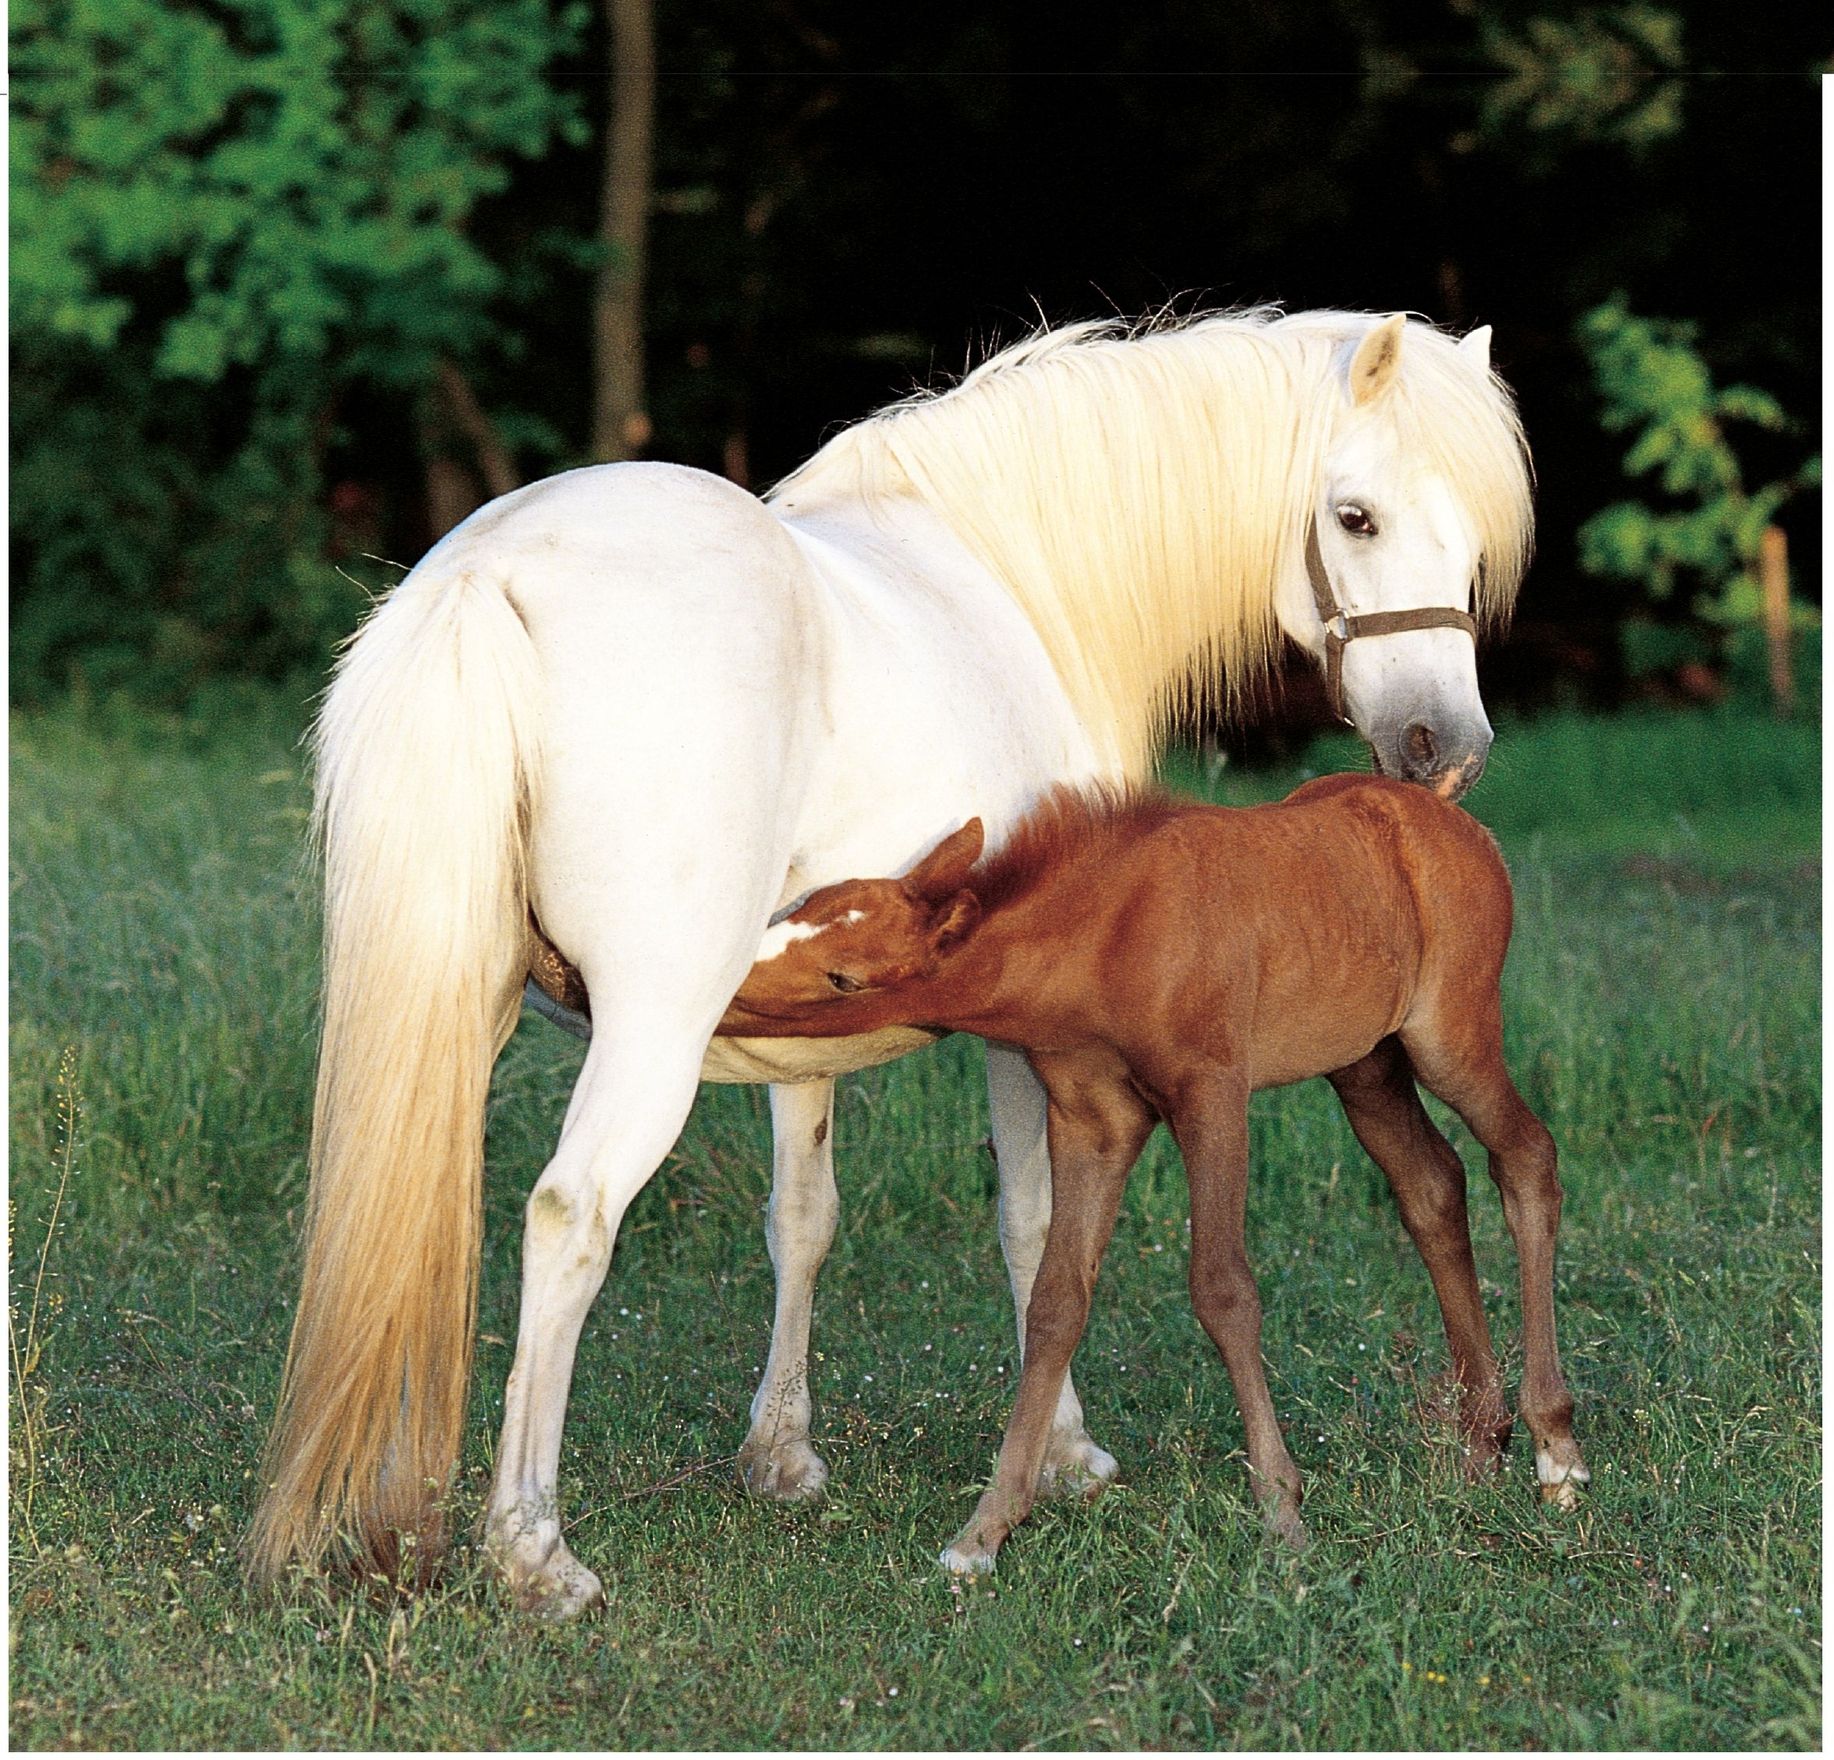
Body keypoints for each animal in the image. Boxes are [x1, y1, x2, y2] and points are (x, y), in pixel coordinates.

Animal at [718, 777, 1591, 1576]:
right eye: (791, 914)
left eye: (843, 977)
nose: (720, 988)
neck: (1106, 943)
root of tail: (1454, 821)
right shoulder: (1091, 1119)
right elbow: (1056, 1300)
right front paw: (984, 1532)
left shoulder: (1212, 1091)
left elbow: (1223, 1289)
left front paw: (1282, 1516)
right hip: (1366, 1066)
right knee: (1433, 1185)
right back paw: (1480, 1442)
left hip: (1450, 1035)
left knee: (1526, 1159)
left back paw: (1554, 1447)